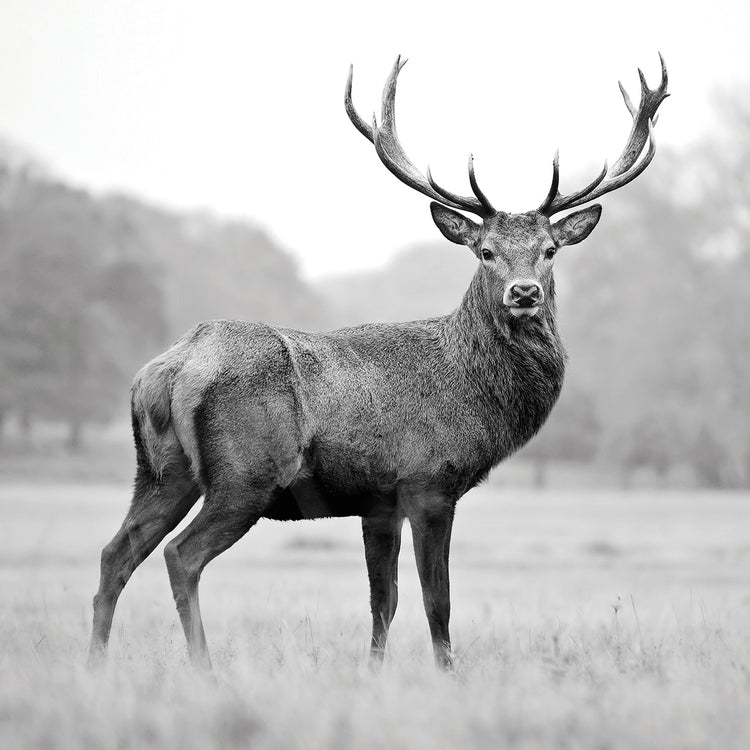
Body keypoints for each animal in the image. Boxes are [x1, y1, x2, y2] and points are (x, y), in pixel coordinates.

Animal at [88, 55, 669, 672]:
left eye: (550, 250)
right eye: (485, 251)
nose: (524, 292)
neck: (474, 394)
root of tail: (170, 369)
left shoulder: (378, 501)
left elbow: (382, 601)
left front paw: (373, 673)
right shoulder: (429, 482)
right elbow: (437, 601)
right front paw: (447, 674)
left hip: (160, 472)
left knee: (115, 553)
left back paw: (95, 663)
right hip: (245, 475)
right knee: (181, 555)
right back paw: (204, 668)